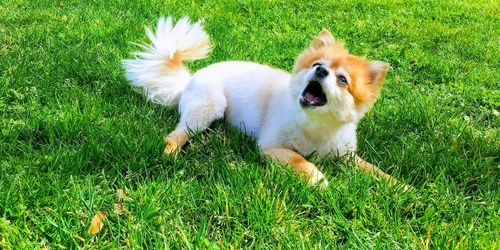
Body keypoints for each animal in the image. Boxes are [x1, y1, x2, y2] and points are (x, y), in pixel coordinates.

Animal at [124, 16, 394, 188]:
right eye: (317, 64)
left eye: (342, 79)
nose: (320, 71)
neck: (316, 125)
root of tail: (188, 80)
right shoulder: (272, 147)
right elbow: (299, 160)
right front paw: (317, 178)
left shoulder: (346, 155)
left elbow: (372, 168)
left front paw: (397, 186)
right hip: (207, 107)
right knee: (175, 135)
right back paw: (170, 154)